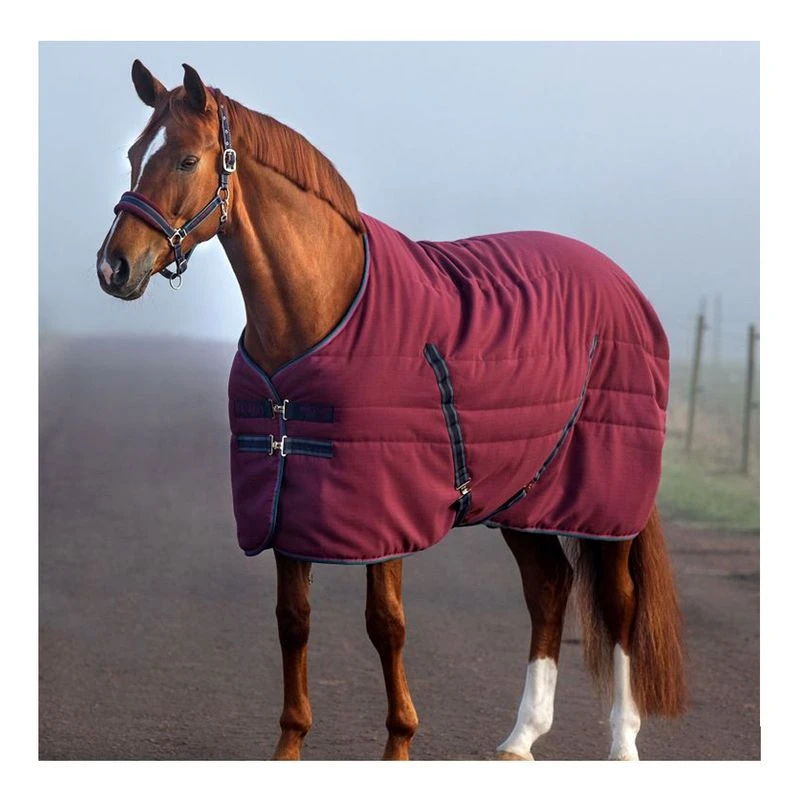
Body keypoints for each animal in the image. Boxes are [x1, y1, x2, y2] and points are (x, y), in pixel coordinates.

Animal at [96, 61, 686, 761]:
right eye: (134, 155)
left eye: (187, 159)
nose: (113, 266)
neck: (321, 309)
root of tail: (624, 285)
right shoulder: (287, 504)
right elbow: (293, 622)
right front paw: (289, 746)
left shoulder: (383, 511)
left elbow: (386, 625)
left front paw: (400, 743)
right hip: (525, 495)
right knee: (548, 590)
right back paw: (520, 738)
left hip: (603, 501)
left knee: (619, 606)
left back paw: (622, 744)